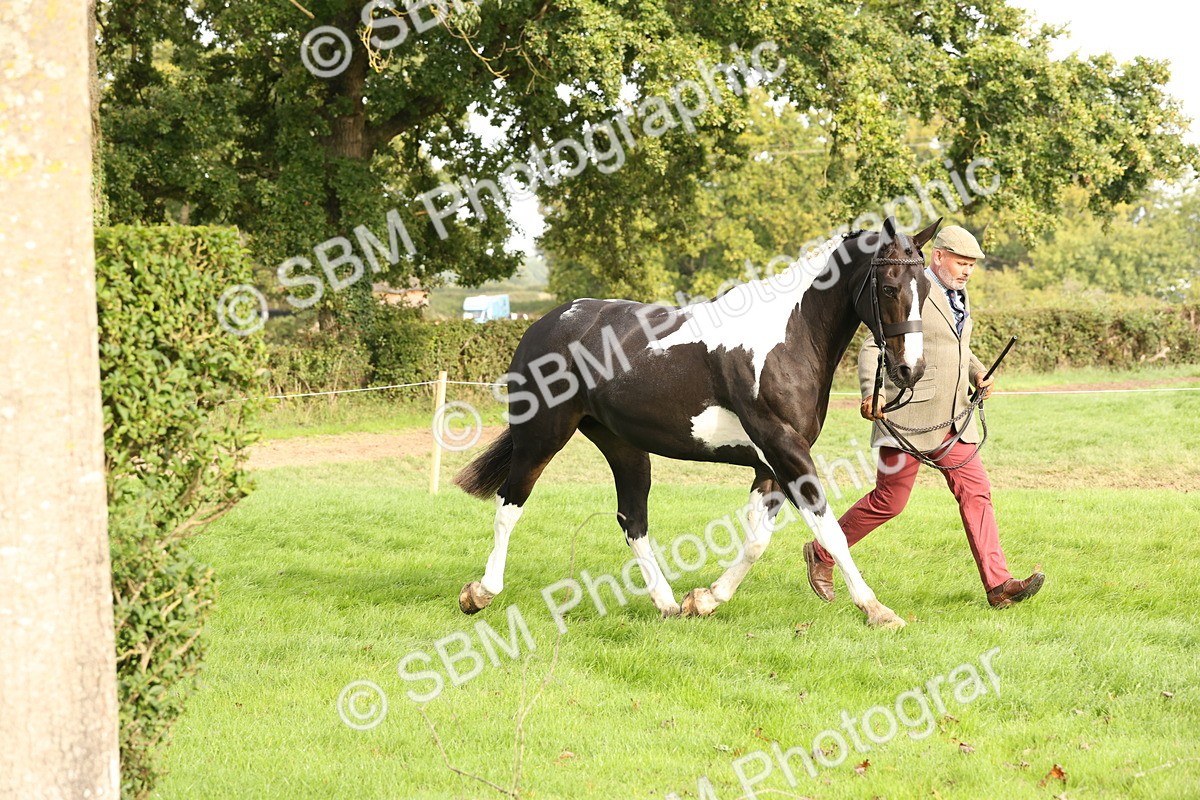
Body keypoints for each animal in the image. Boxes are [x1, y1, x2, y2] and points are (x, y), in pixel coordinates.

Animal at [453, 216, 939, 629]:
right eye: (890, 287)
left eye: (925, 287)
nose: (909, 370)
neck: (789, 336)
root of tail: (547, 322)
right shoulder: (786, 450)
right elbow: (830, 531)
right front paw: (877, 610)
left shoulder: (771, 463)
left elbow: (757, 540)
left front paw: (704, 599)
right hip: (541, 436)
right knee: (510, 504)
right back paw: (481, 592)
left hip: (624, 447)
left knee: (633, 520)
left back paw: (667, 603)